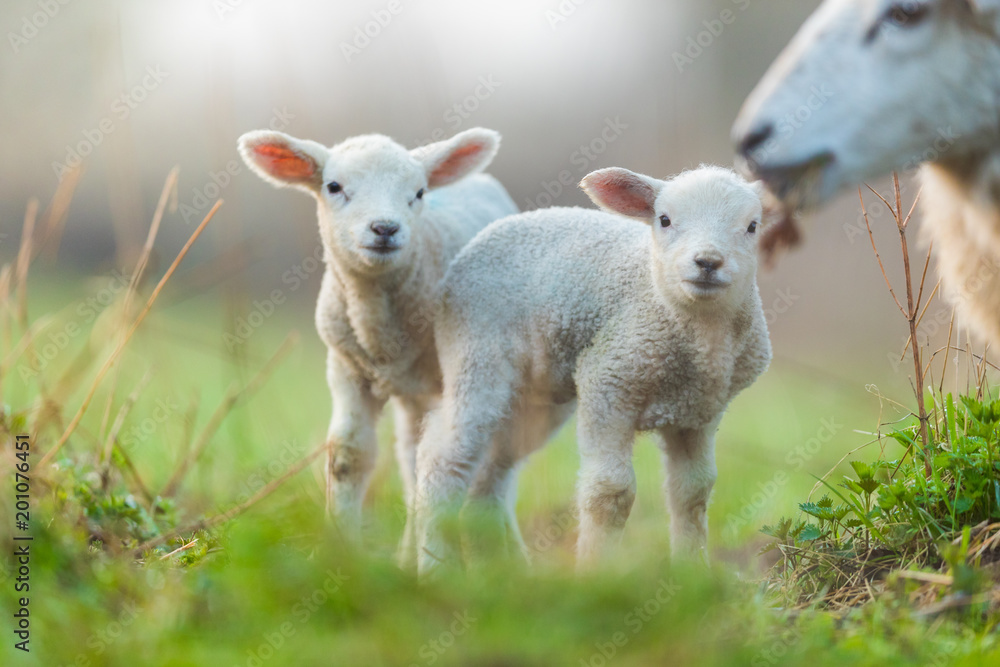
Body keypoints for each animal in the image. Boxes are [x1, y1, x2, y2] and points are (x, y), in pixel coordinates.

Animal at [239, 124, 520, 544]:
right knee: (410, 458)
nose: (385, 228)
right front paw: (342, 545)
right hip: (412, 395)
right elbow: (349, 456)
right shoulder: (346, 369)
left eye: (419, 192)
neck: (380, 328)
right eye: (334, 186)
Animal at [414, 166, 772, 576]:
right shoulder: (609, 381)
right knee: (443, 460)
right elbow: (610, 491)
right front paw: (596, 573)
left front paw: (691, 573)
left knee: (490, 478)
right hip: (476, 357)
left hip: (534, 400)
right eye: (664, 220)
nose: (708, 262)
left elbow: (693, 492)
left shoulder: (699, 413)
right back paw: (435, 566)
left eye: (752, 226)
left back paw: (507, 568)